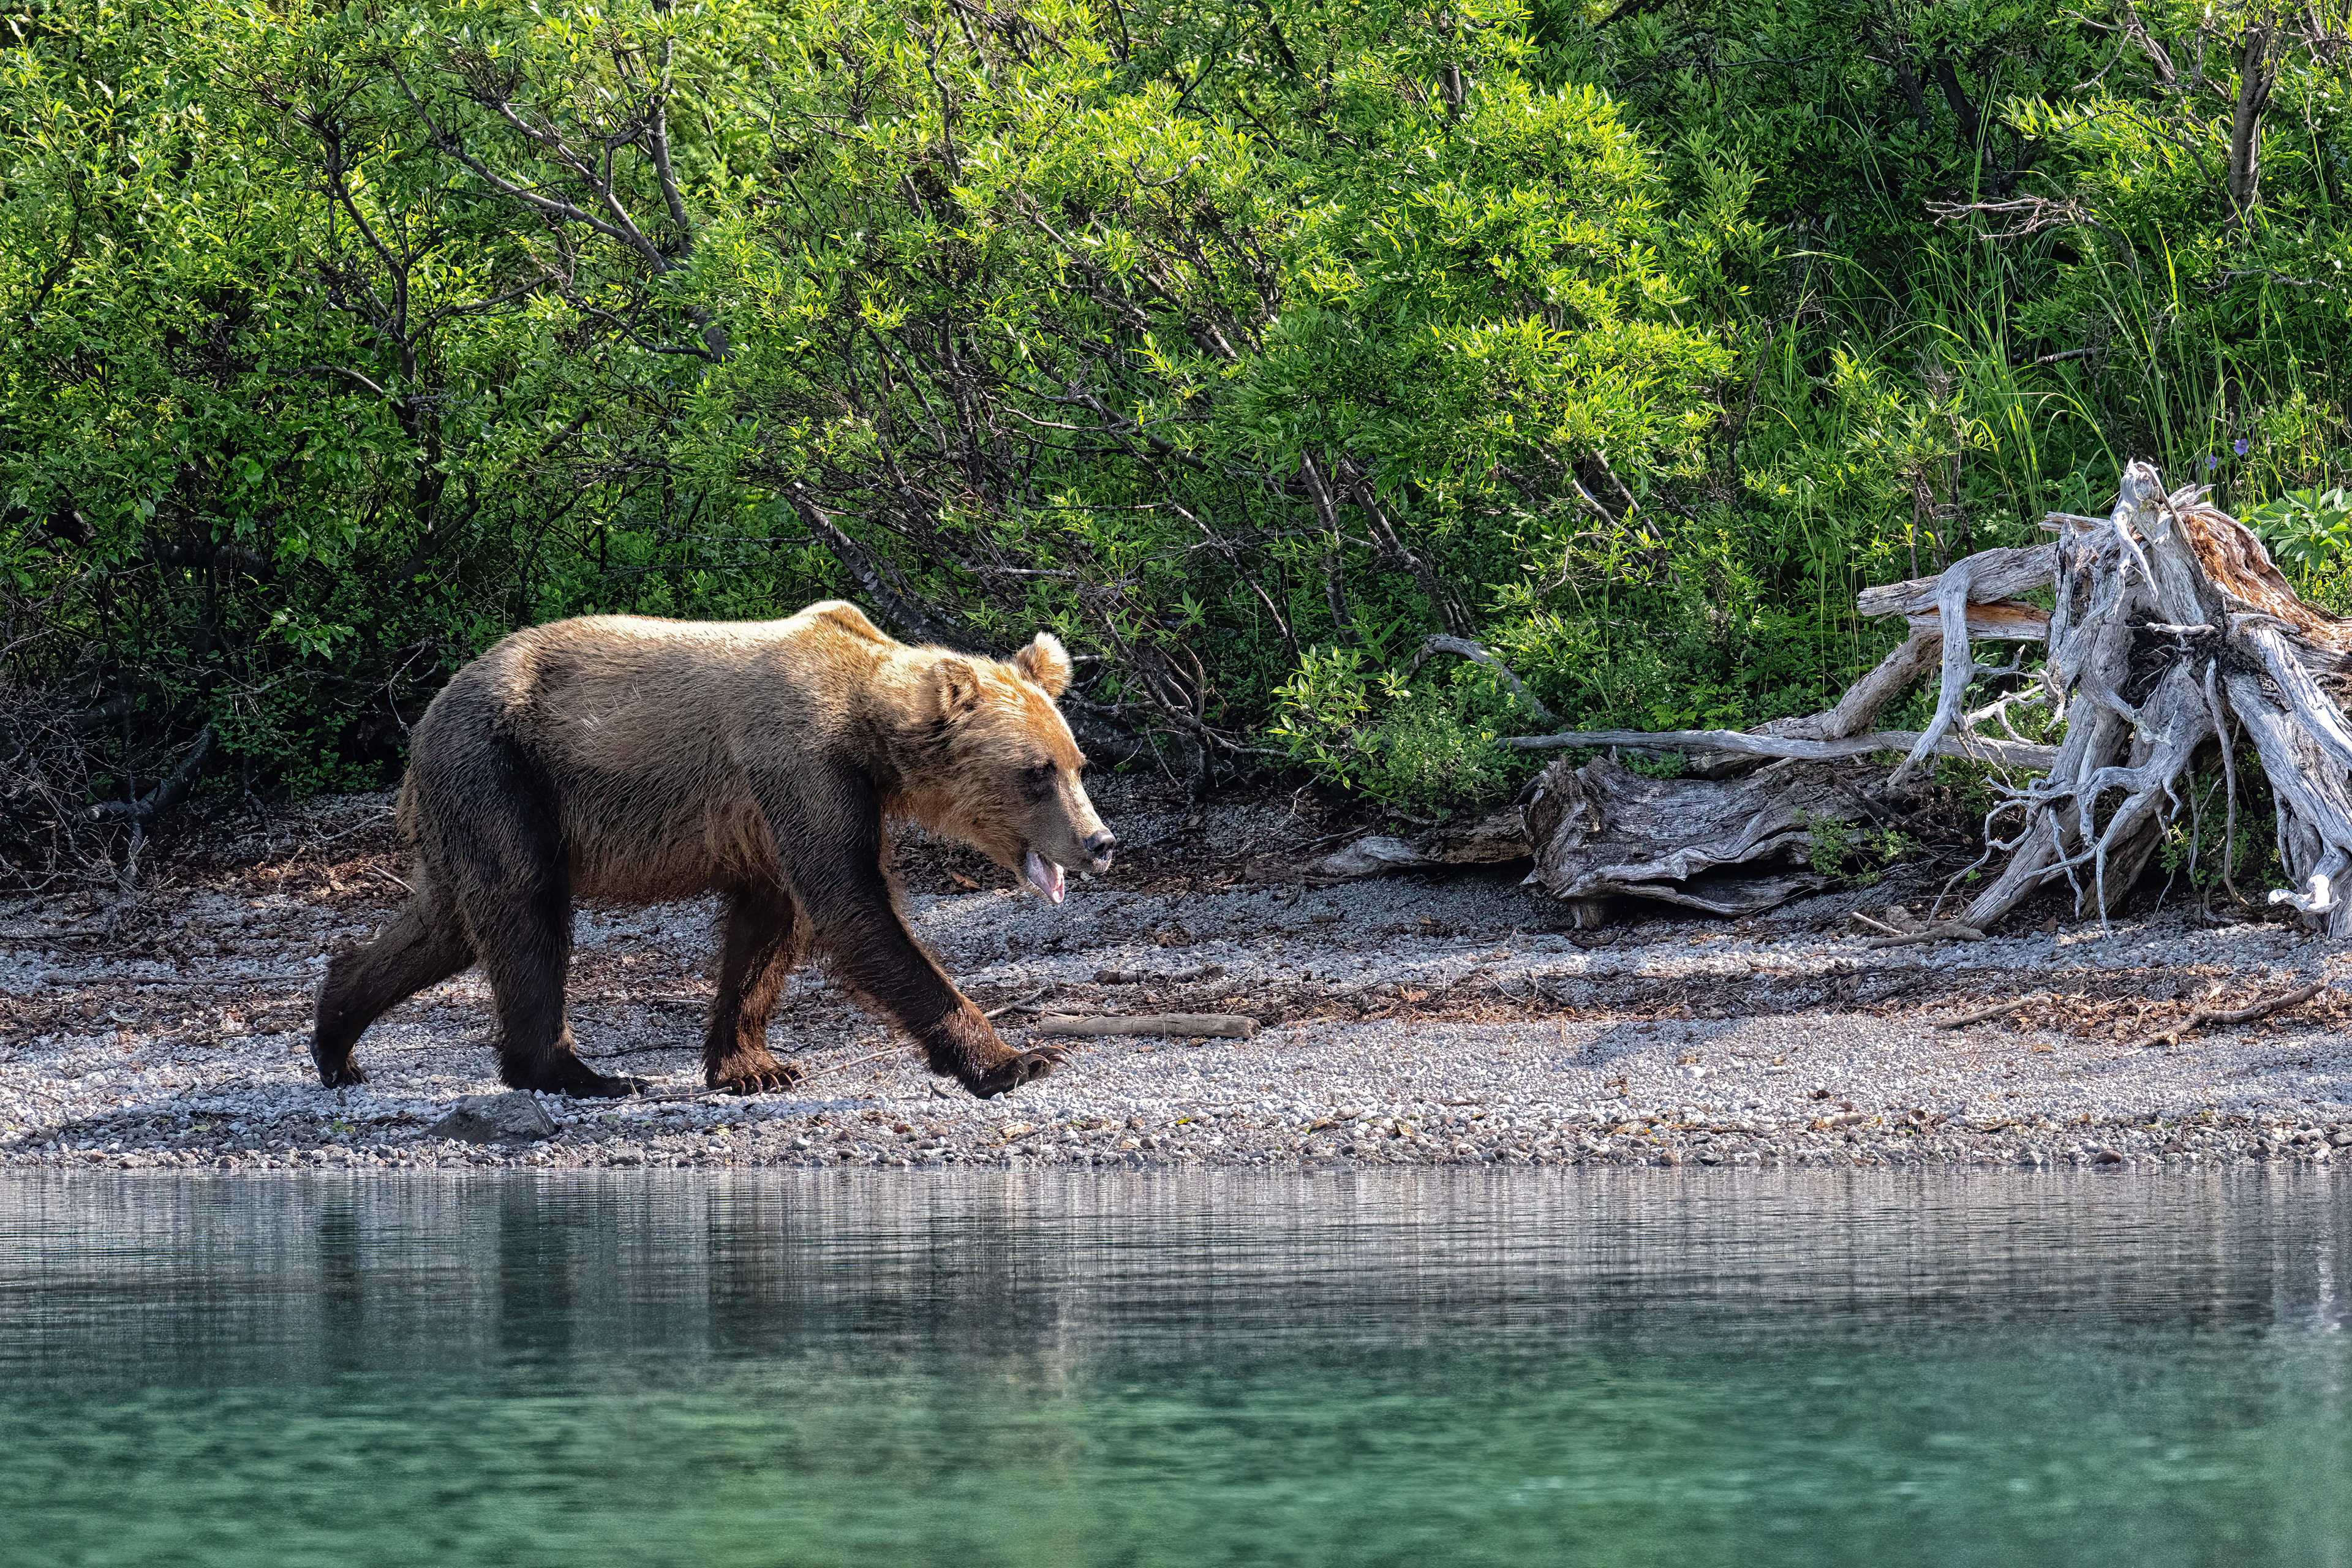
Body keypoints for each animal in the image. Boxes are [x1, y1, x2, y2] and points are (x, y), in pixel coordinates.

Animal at [309, 600, 1114, 1100]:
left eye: (1079, 764)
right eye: (1036, 772)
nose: (1099, 842)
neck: (867, 734)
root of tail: (426, 715)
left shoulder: (775, 815)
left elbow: (767, 926)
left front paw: (752, 1065)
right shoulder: (802, 769)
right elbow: (855, 908)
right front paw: (1017, 1058)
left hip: (474, 799)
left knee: (446, 923)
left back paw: (336, 1036)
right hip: (502, 769)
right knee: (525, 910)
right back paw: (579, 1072)